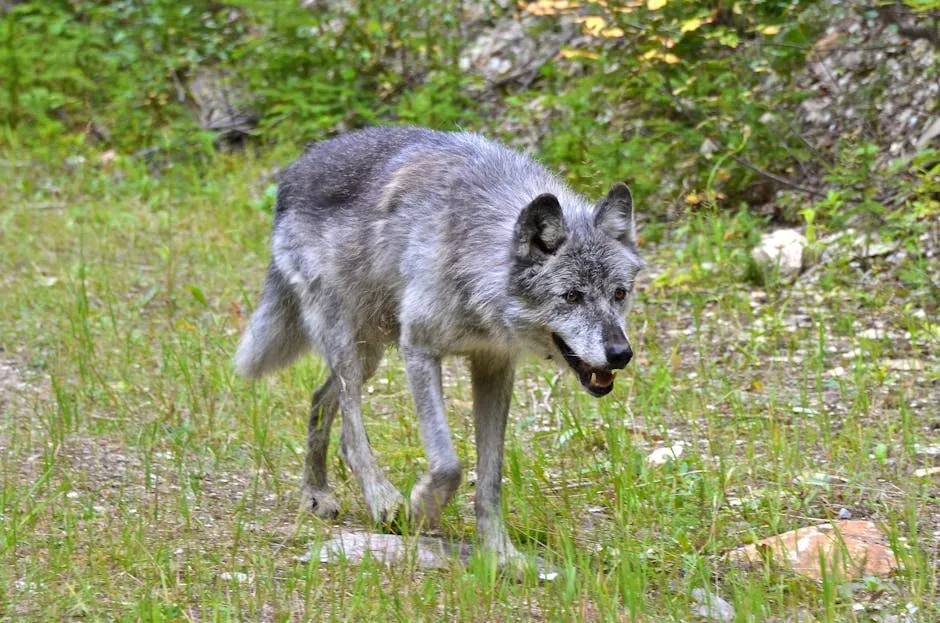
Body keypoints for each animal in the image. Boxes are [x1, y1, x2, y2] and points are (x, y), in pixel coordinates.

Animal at [235, 126, 643, 567]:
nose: (621, 354)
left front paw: (500, 554)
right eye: (571, 296)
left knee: (320, 399)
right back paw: (376, 499)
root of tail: (295, 169)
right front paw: (419, 510)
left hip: (368, 354)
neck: (477, 261)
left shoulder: (495, 367)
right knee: (350, 429)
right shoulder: (418, 349)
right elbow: (448, 464)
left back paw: (317, 492)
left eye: (619, 294)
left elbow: (491, 477)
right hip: (348, 342)